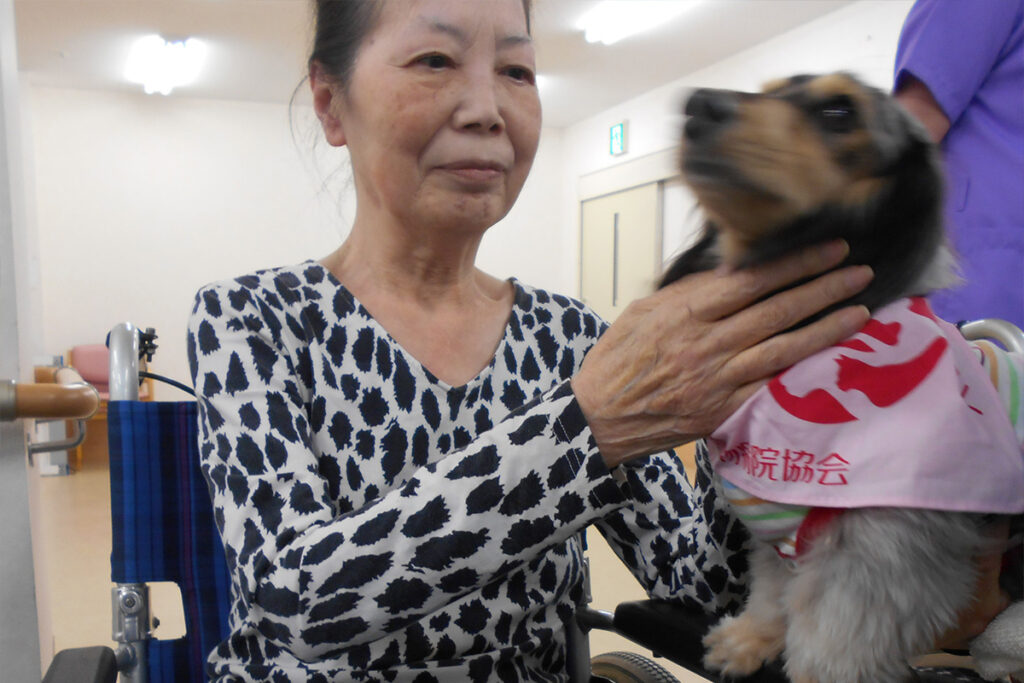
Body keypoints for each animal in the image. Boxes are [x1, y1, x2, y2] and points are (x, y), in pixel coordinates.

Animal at [661, 73, 1024, 682]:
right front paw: (750, 639)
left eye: (839, 112)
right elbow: (773, 594)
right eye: (767, 90)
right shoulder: (781, 523)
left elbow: (831, 646)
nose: (698, 104)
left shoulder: (882, 555)